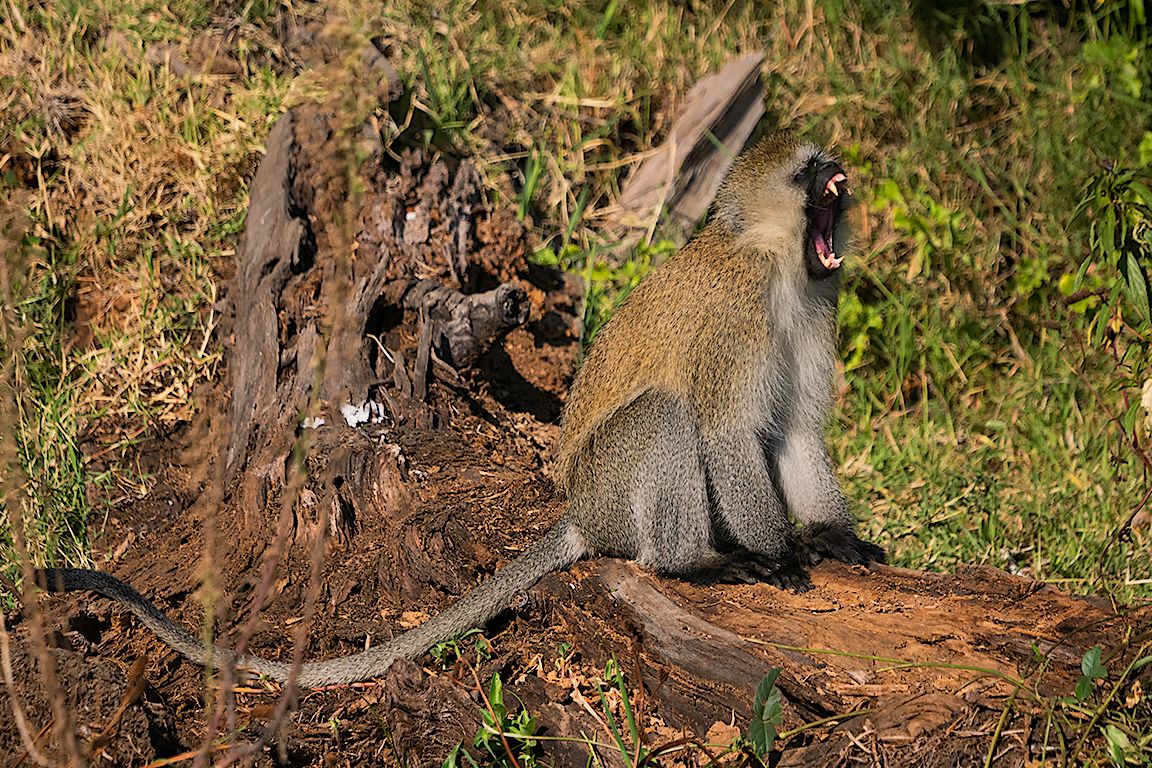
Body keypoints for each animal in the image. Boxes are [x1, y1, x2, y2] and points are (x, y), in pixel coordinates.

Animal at [35, 131, 884, 688]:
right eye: (809, 171)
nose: (840, 170)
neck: (779, 265)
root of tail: (581, 513)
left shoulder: (817, 304)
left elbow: (795, 430)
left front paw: (834, 536)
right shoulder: (741, 316)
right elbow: (724, 430)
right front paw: (779, 555)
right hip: (612, 493)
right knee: (666, 418)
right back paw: (691, 563)